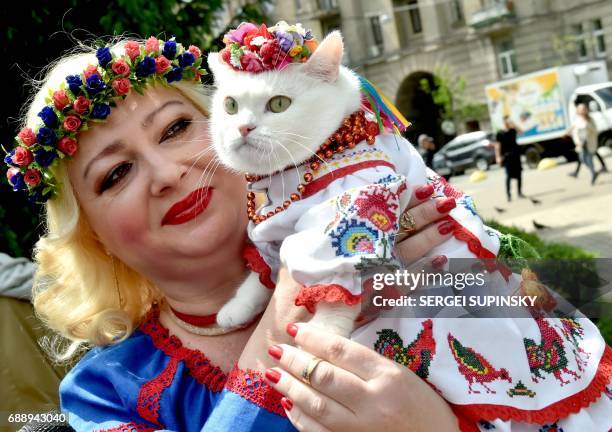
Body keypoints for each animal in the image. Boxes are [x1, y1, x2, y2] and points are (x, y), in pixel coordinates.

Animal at [208, 31, 500, 334]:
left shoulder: (350, 212)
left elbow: (336, 292)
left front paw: (320, 336)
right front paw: (237, 308)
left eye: (279, 104)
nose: (243, 127)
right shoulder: (270, 234)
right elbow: (261, 274)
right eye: (230, 105)